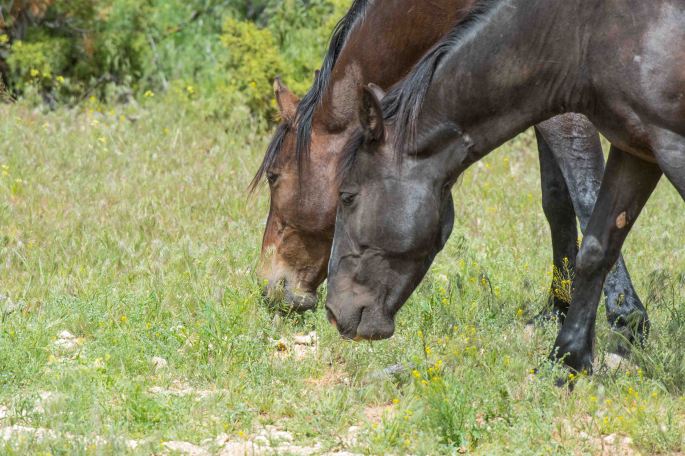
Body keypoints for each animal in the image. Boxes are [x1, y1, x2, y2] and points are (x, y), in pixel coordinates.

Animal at [253, 0, 649, 345]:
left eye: (274, 175)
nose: (269, 287)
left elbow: (588, 196)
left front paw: (626, 319)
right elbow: (556, 201)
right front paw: (556, 309)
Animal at [325, 0, 685, 375]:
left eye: (346, 196)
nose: (333, 313)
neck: (582, 33)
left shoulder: (670, 145)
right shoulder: (635, 147)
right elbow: (596, 246)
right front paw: (567, 359)